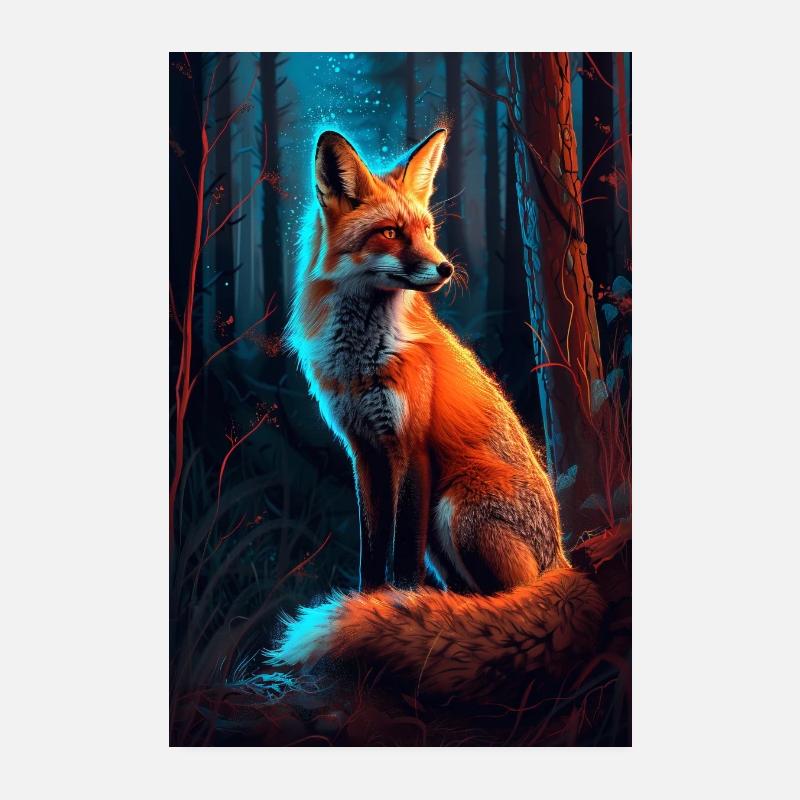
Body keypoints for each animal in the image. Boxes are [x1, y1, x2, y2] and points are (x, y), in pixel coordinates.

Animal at [269, 129, 605, 701]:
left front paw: (393, 615)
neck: (362, 360)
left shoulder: (413, 449)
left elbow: (402, 559)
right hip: (444, 536)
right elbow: (373, 550)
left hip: (456, 505)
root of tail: (562, 556)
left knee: (514, 598)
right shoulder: (364, 452)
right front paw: (370, 606)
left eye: (426, 230)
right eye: (389, 233)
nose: (446, 267)